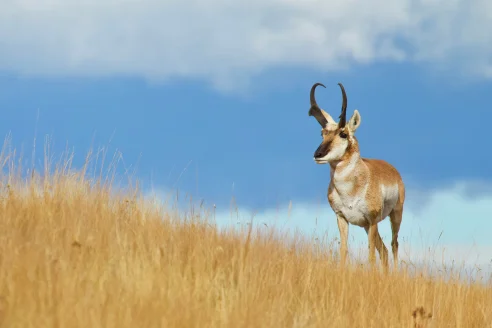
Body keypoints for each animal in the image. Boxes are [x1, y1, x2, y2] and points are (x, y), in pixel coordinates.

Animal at [308, 81, 408, 270]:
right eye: (322, 133)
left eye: (343, 134)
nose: (318, 154)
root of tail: (391, 169)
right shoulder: (342, 218)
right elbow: (344, 251)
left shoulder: (372, 220)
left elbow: (370, 256)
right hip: (366, 226)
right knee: (384, 251)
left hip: (395, 216)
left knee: (394, 245)